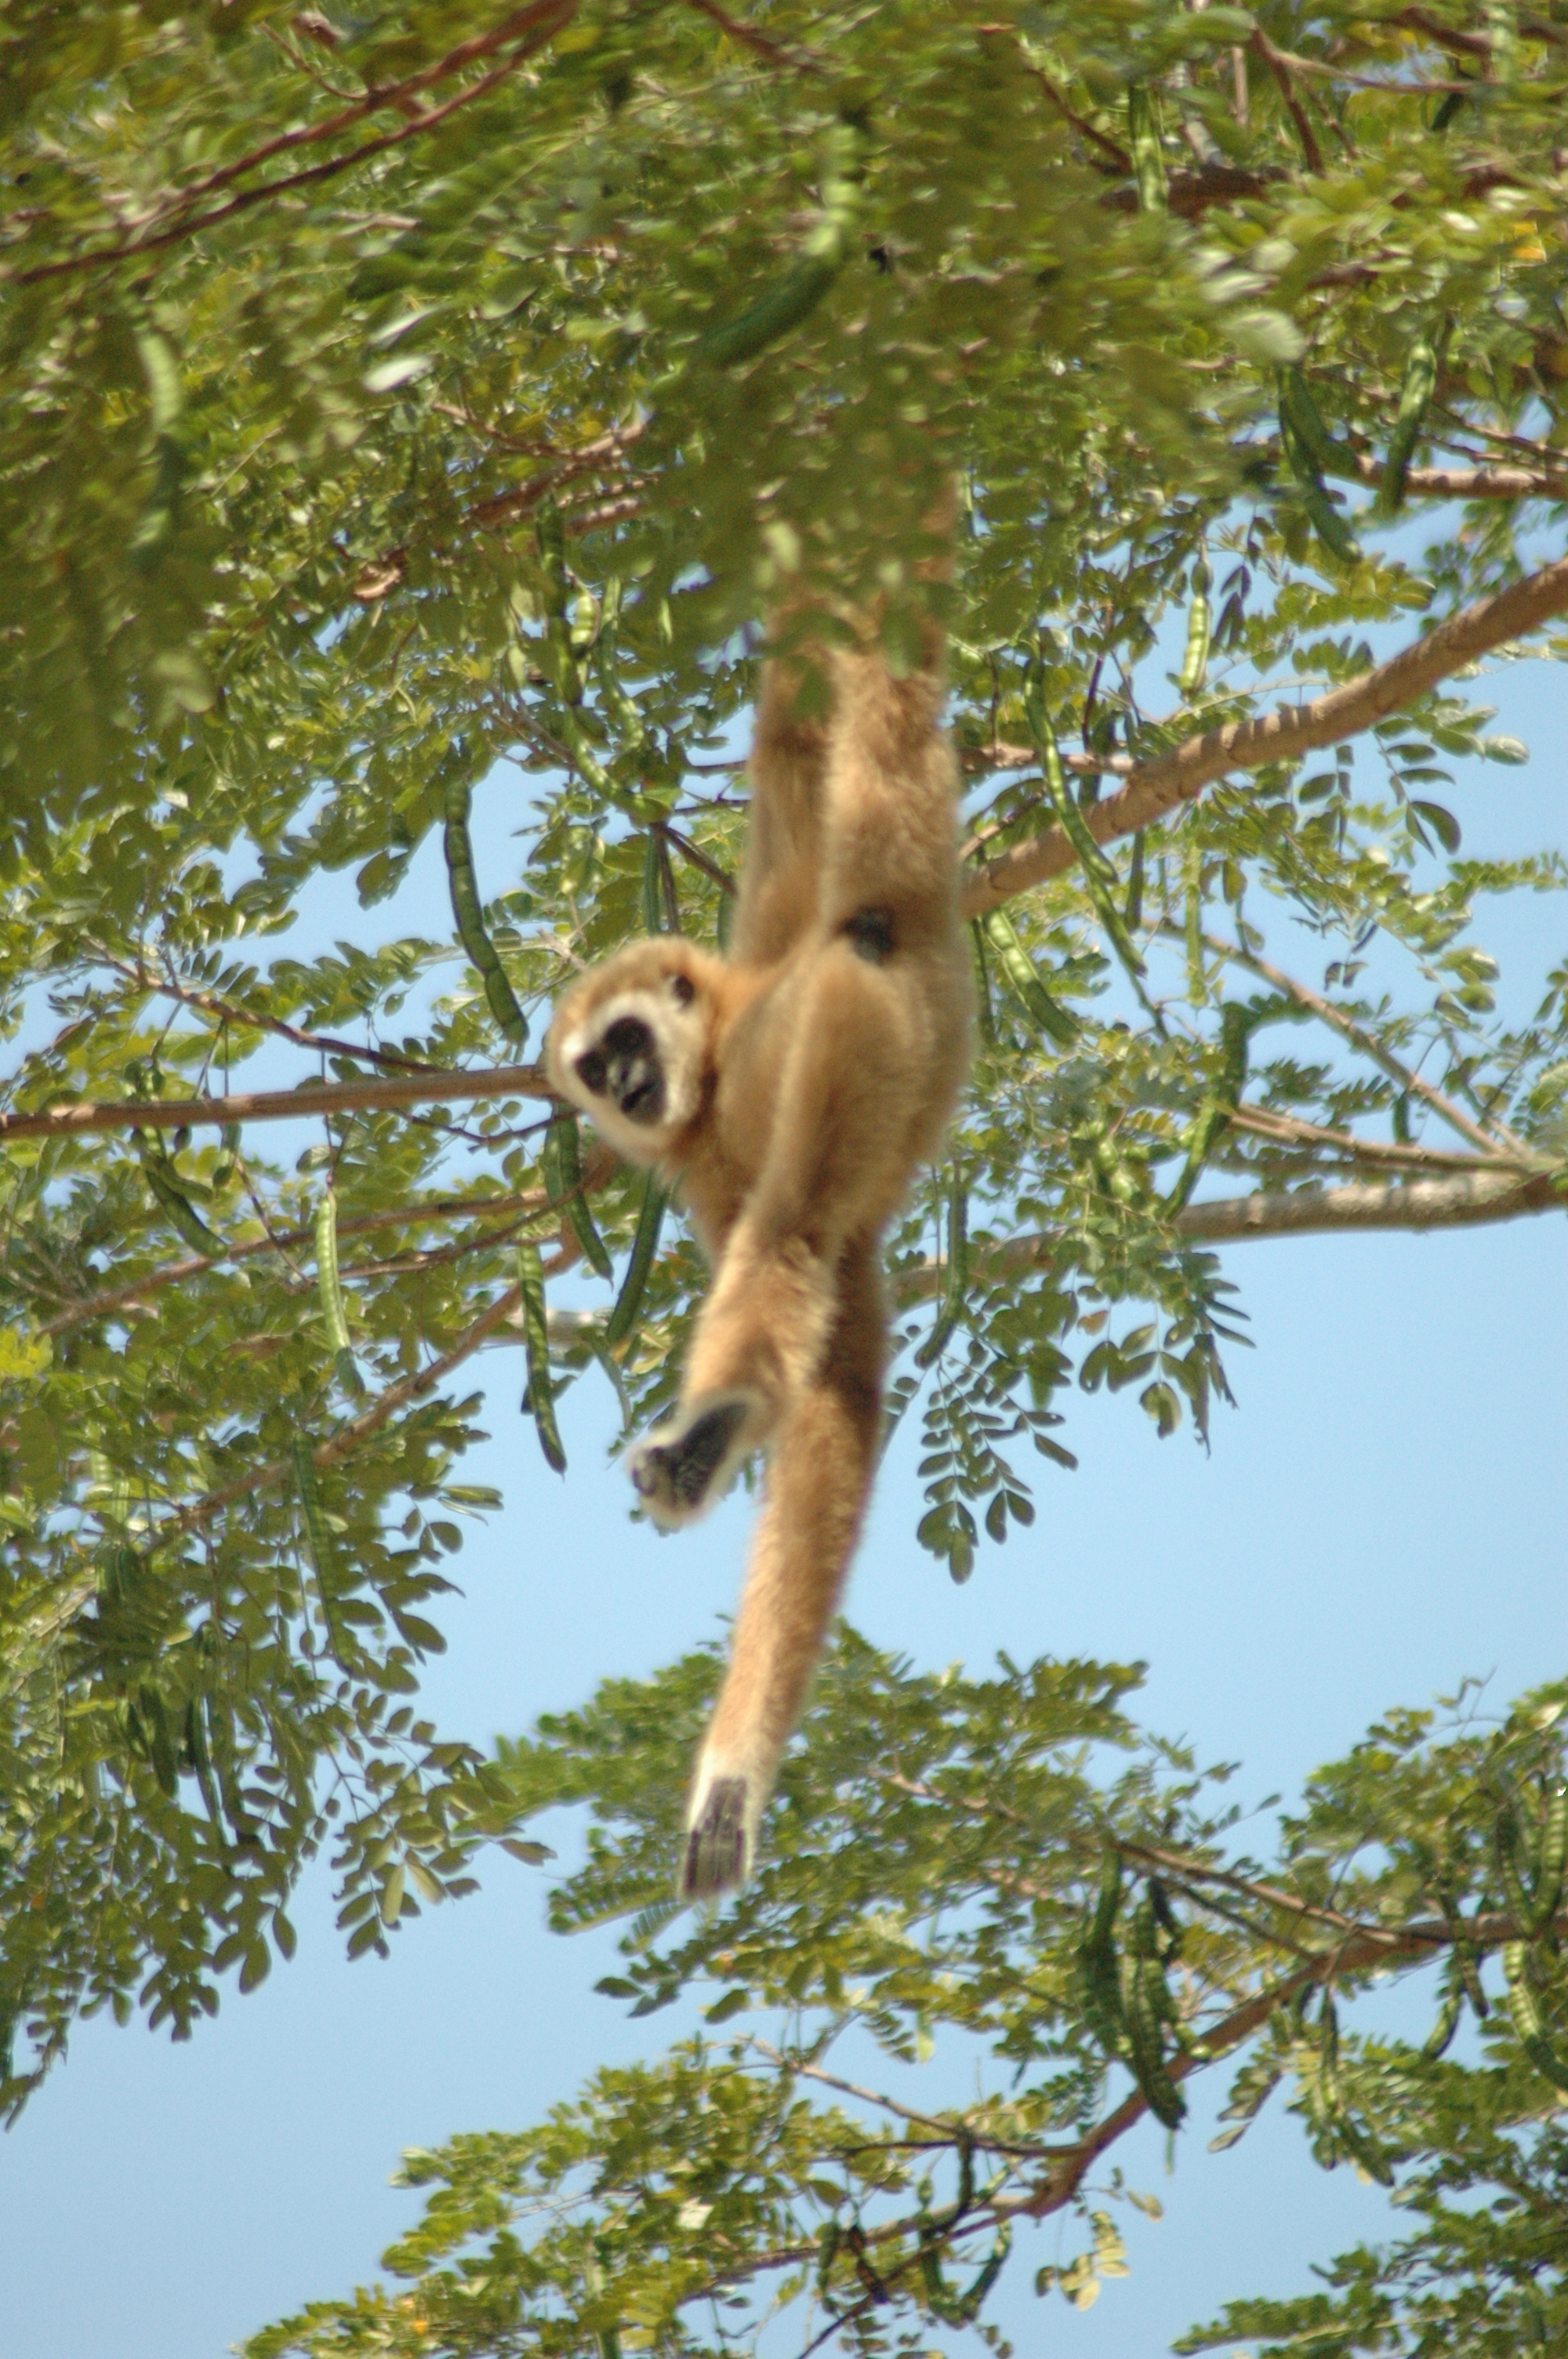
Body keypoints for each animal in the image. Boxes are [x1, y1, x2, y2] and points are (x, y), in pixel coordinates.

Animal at [546, 549, 971, 1901]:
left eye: (627, 1040)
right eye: (598, 1067)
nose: (629, 1086)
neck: (726, 1052)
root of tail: (909, 935)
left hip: (856, 1024)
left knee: (791, 1239)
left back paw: (709, 1431)